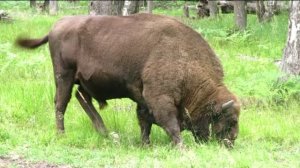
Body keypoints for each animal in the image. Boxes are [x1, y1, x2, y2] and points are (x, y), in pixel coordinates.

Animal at [17, 13, 241, 147]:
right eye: (230, 120)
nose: (231, 141)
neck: (187, 62)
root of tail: (55, 27)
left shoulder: (143, 99)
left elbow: (145, 121)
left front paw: (145, 144)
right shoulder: (159, 97)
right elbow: (168, 123)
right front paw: (180, 147)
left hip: (83, 81)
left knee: (83, 98)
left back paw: (105, 133)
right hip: (64, 75)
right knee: (61, 103)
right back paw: (62, 135)